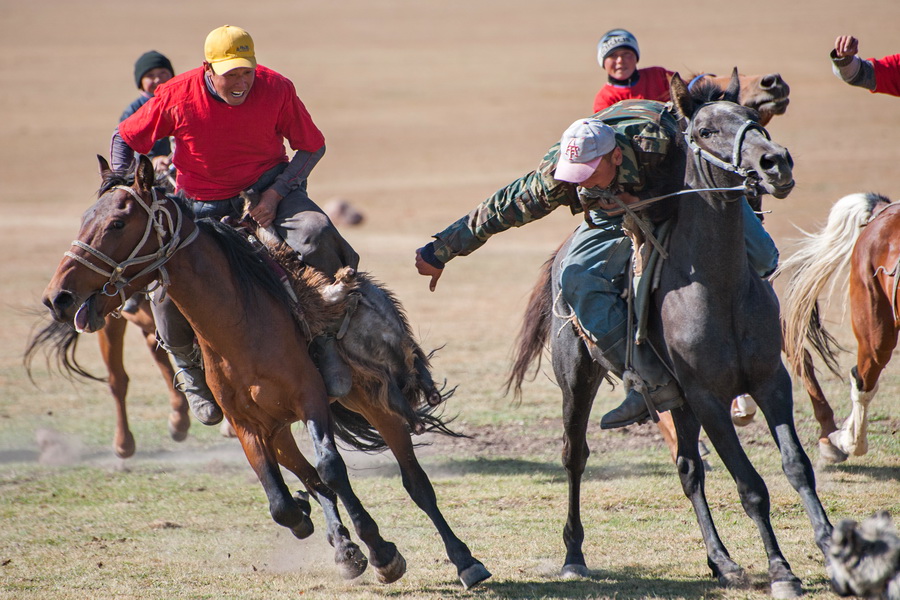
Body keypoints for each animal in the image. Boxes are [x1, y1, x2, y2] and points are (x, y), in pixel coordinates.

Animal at [38, 156, 492, 592]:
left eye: (117, 223)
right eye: (85, 218)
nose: (58, 297)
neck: (238, 327)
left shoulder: (311, 400)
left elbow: (332, 469)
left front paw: (382, 552)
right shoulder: (247, 426)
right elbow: (281, 500)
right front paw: (326, 529)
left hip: (373, 400)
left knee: (413, 482)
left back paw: (464, 561)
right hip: (278, 430)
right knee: (310, 477)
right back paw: (342, 546)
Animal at [510, 72, 832, 596]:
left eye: (751, 118)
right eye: (703, 131)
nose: (775, 162)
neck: (719, 288)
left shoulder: (769, 382)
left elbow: (796, 467)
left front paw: (830, 546)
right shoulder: (708, 398)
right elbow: (751, 487)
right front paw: (782, 571)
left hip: (677, 401)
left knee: (687, 469)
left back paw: (721, 561)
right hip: (579, 382)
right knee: (575, 456)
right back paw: (574, 555)